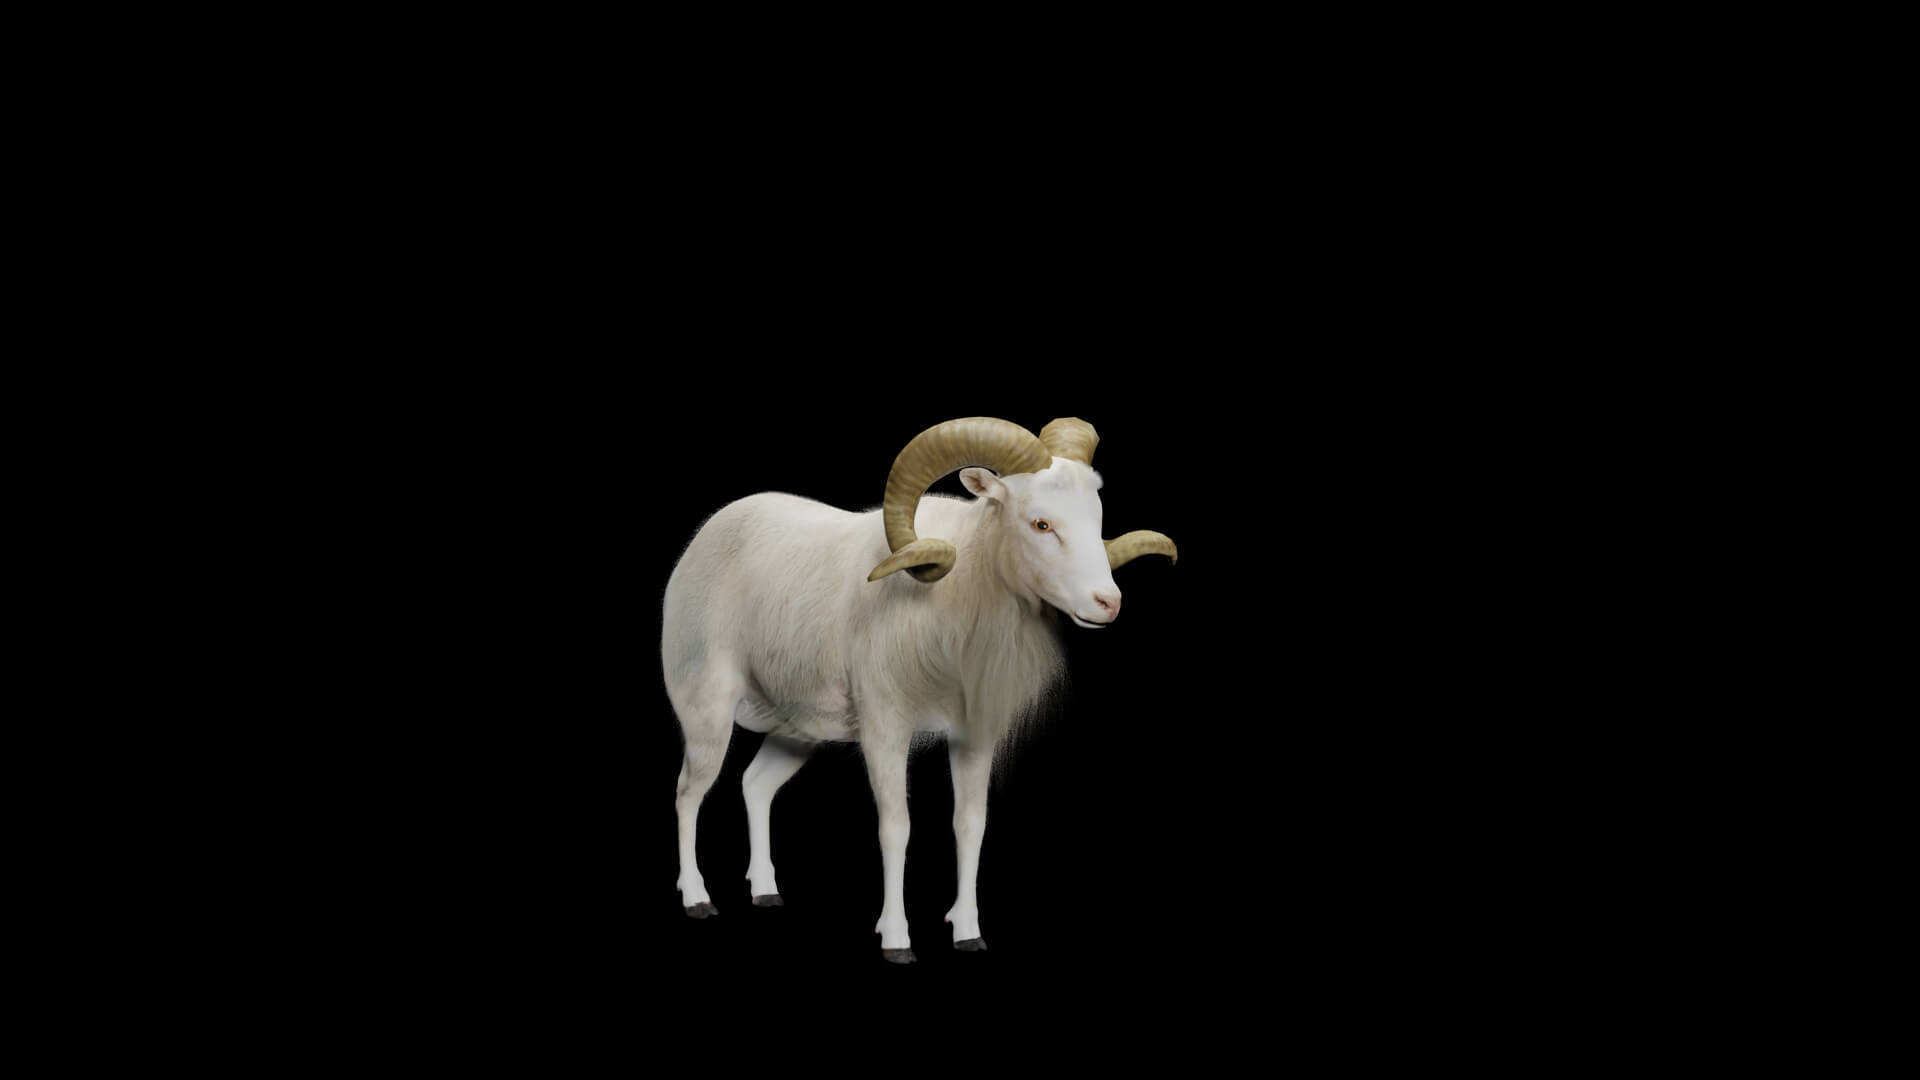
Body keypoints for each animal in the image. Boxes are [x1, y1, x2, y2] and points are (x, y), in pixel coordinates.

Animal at [663, 416, 1177, 963]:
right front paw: (896, 940)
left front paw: (968, 933)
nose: (1106, 603)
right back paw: (697, 900)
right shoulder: (886, 734)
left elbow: (969, 827)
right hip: (707, 715)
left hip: (793, 733)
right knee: (689, 793)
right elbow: (896, 829)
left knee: (755, 786)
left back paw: (765, 892)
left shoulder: (973, 740)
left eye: (1095, 518)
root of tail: (704, 540)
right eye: (1041, 524)